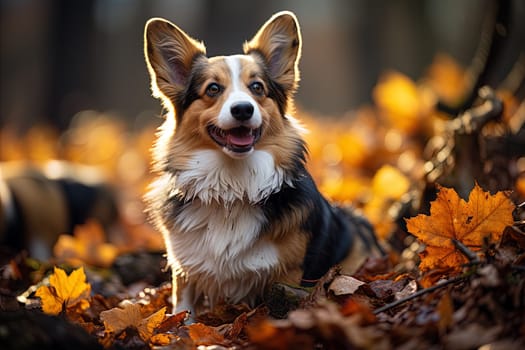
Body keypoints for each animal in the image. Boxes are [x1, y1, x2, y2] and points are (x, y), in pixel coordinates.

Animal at [143, 12, 380, 316]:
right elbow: (183, 310)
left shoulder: (290, 273)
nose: (243, 109)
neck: (231, 187)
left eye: (257, 87)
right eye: (213, 89)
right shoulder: (184, 267)